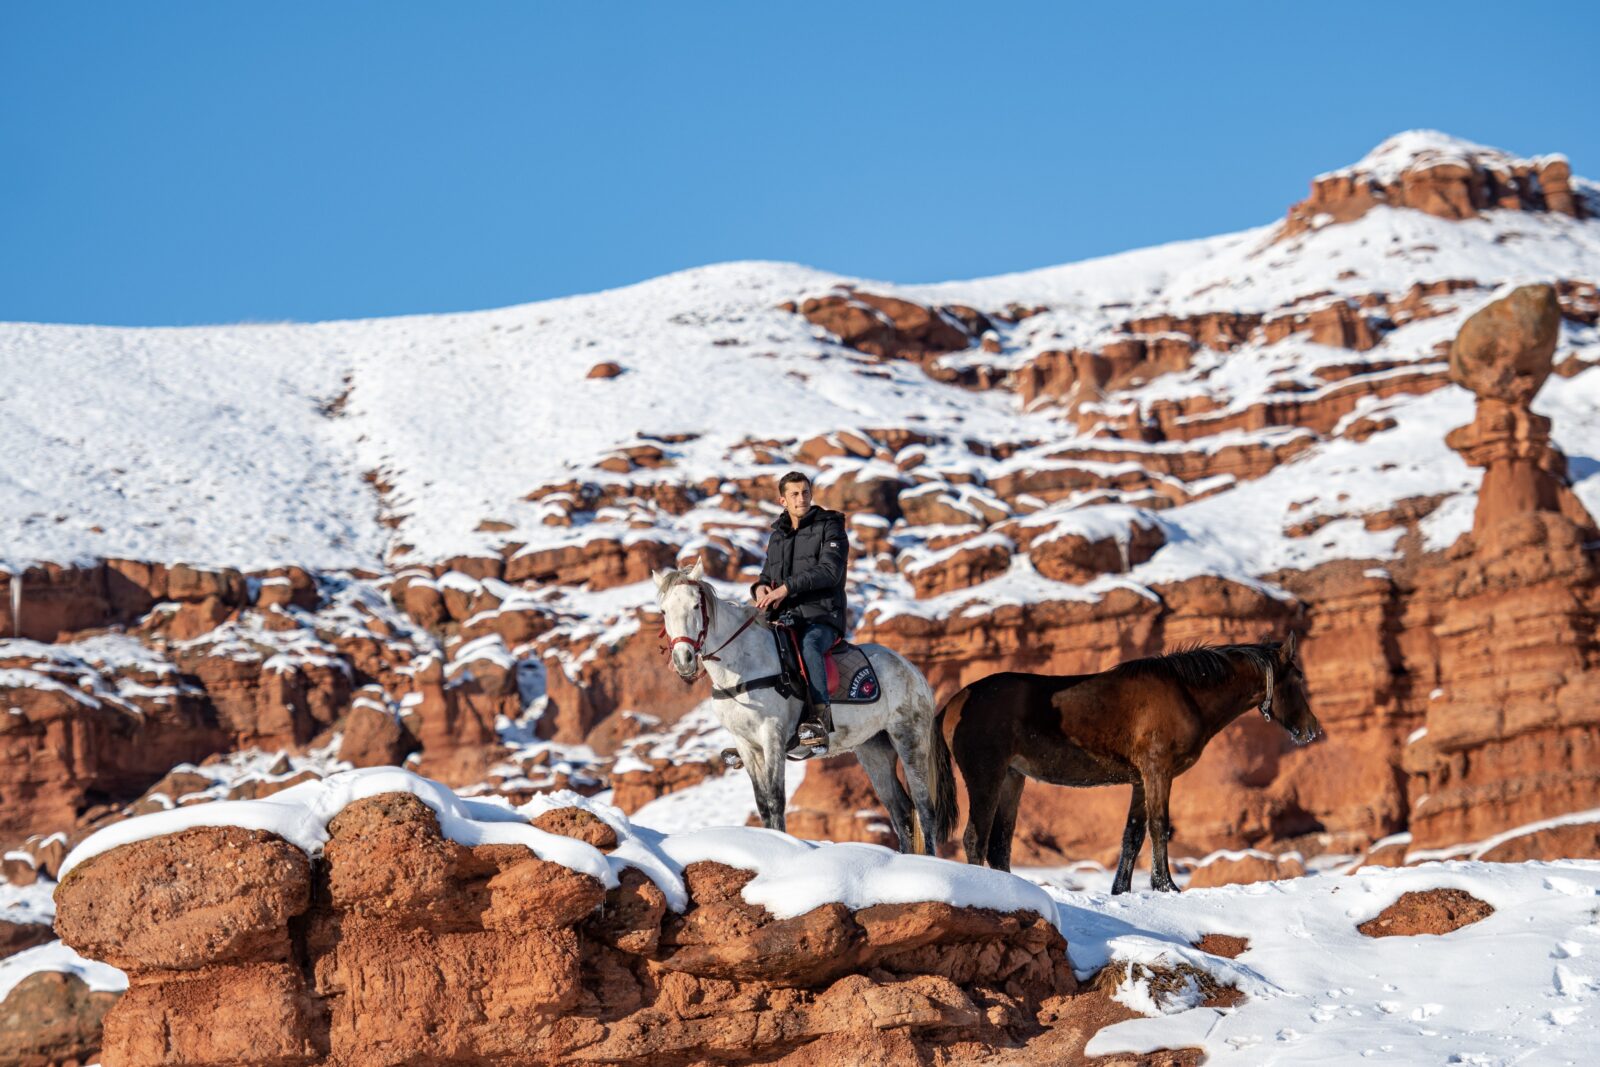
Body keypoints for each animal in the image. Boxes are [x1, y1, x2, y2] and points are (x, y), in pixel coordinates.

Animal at [652, 563, 947, 857]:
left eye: (694, 606)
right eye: (664, 610)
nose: (683, 660)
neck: (743, 665)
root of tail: (912, 670)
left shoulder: (772, 735)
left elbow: (775, 799)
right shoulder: (746, 743)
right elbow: (762, 803)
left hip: (910, 739)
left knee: (924, 808)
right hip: (873, 749)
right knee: (901, 812)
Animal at [934, 633, 1318, 895]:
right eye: (1298, 678)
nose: (1312, 729)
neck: (1186, 693)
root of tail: (955, 701)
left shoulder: (1140, 779)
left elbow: (1132, 834)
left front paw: (1122, 889)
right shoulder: (1158, 772)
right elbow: (1159, 826)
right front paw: (1166, 885)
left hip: (1012, 779)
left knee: (999, 845)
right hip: (986, 777)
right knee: (975, 839)